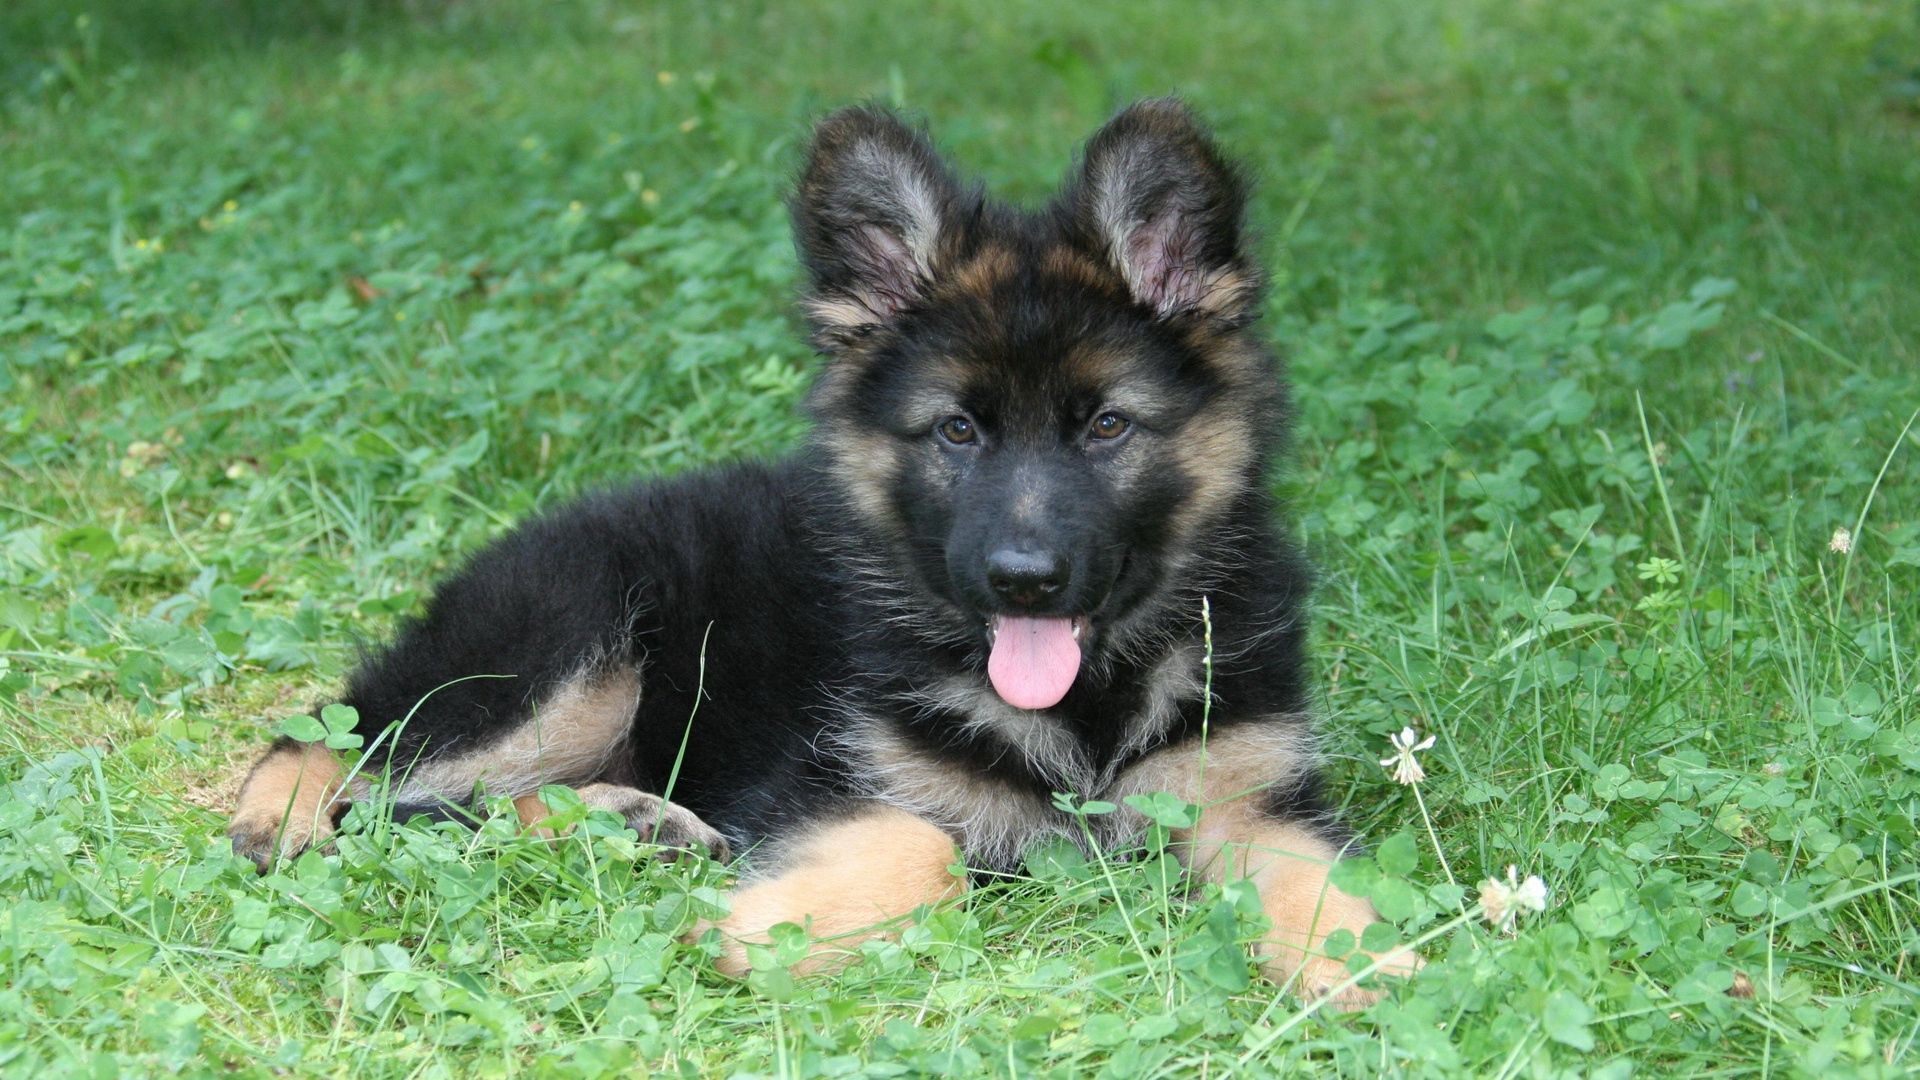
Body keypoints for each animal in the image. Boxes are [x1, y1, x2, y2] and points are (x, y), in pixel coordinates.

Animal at [232, 98, 1420, 999]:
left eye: (1107, 427)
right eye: (957, 432)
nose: (1023, 581)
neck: (1090, 704)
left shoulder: (1251, 796)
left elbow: (1310, 878)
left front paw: (1371, 961)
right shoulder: (827, 780)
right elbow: (930, 846)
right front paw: (760, 931)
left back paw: (632, 821)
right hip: (568, 653)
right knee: (349, 759)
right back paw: (285, 818)